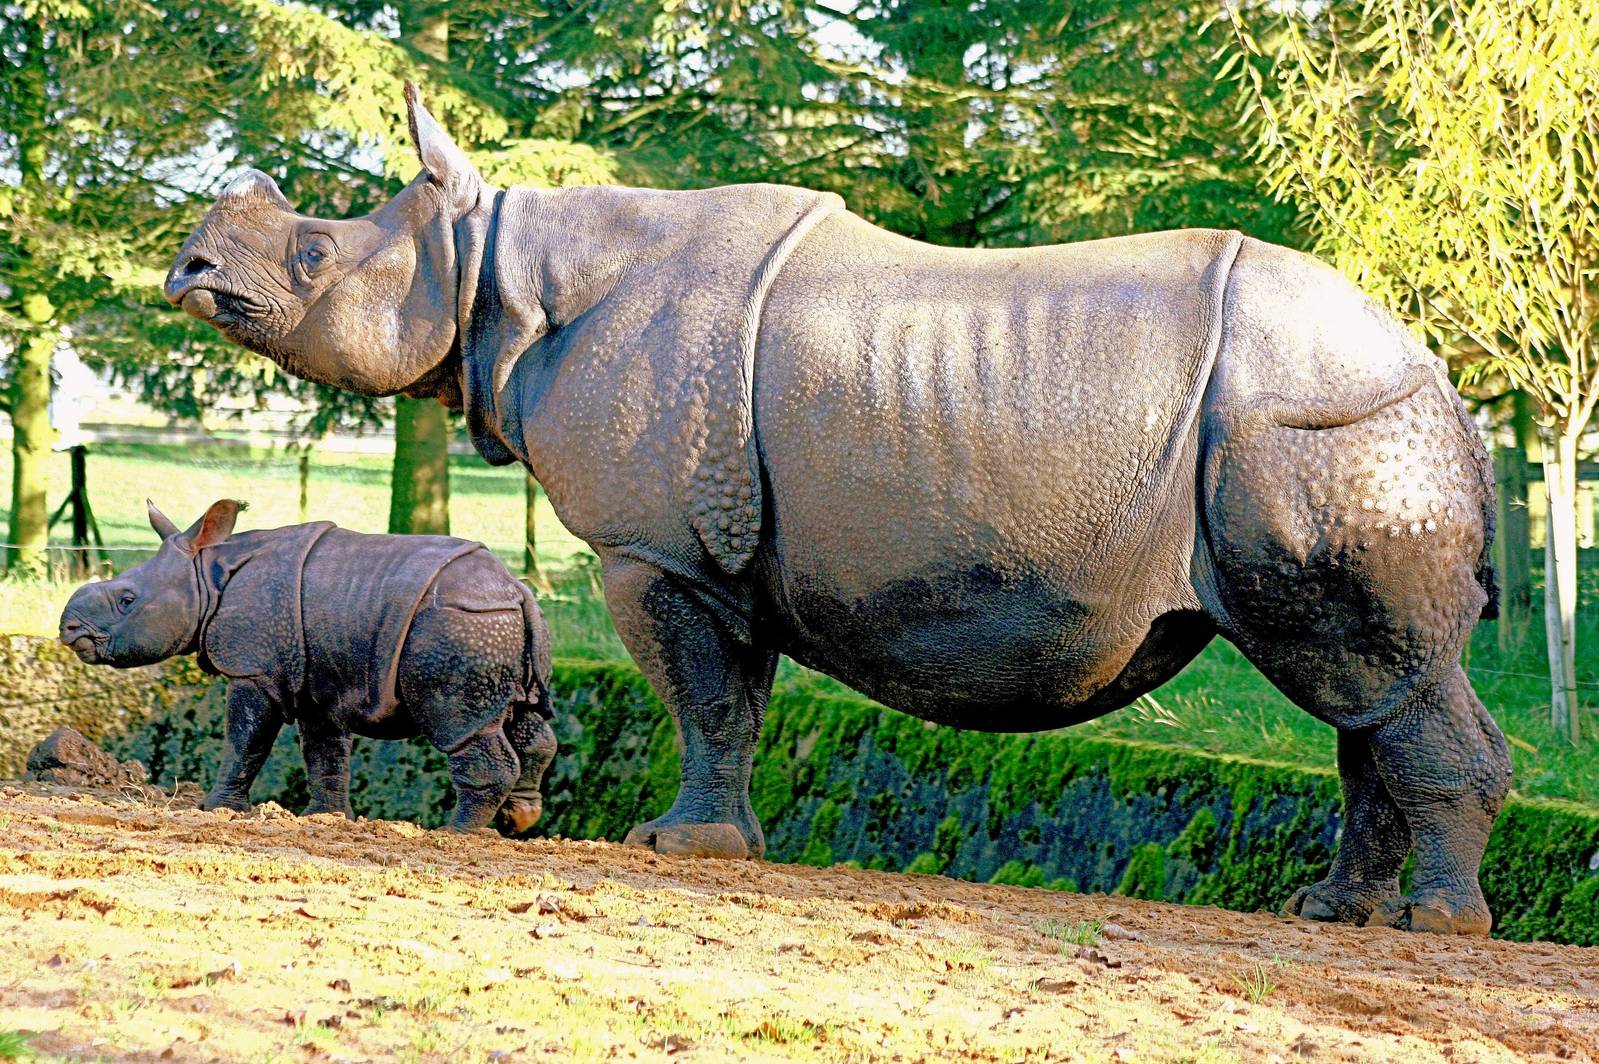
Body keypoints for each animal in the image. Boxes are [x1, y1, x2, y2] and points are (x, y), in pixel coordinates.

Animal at [58, 498, 556, 833]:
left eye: (127, 600)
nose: (68, 628)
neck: (207, 576)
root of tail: (517, 589)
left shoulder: (253, 669)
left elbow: (245, 740)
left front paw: (215, 808)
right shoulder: (320, 679)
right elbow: (323, 750)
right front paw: (327, 817)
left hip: (461, 626)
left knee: (460, 726)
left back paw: (453, 833)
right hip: (495, 625)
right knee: (523, 718)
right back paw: (519, 819)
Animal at [162, 85, 1510, 935]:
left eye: (312, 259)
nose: (188, 269)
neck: (499, 268)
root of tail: (1441, 375)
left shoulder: (657, 550)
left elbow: (700, 698)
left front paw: (673, 847)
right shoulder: (717, 551)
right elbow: (737, 702)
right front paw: (725, 844)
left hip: (1316, 427)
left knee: (1366, 673)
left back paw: (1436, 925)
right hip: (1332, 429)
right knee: (1362, 690)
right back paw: (1335, 911)